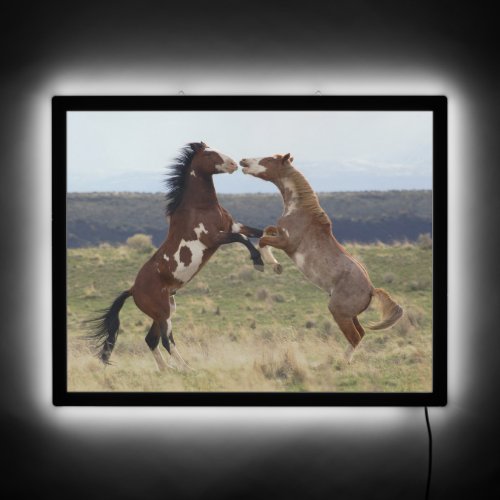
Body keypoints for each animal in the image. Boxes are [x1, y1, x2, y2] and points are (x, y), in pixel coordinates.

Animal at [87, 143, 266, 370]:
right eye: (209, 154)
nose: (234, 164)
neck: (200, 207)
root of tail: (133, 289)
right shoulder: (215, 237)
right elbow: (243, 239)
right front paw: (258, 261)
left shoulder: (233, 226)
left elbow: (260, 232)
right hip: (163, 313)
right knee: (166, 341)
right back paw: (187, 369)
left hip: (164, 311)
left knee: (151, 340)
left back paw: (167, 370)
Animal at [240, 153, 404, 364]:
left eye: (267, 160)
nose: (243, 161)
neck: (299, 210)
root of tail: (371, 289)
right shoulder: (280, 232)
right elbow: (266, 230)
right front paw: (275, 265)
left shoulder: (287, 242)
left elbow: (262, 240)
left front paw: (274, 265)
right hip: (350, 315)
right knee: (360, 333)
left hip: (339, 312)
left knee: (355, 336)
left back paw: (340, 363)